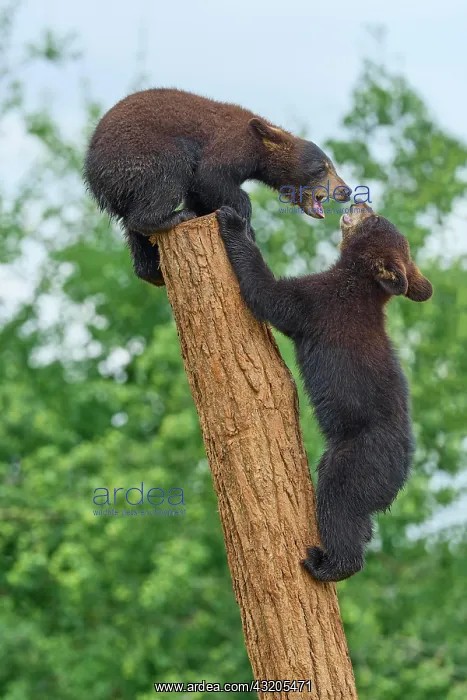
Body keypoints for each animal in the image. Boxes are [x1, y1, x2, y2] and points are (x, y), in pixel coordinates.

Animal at [83, 88, 350, 286]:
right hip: (141, 154)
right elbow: (209, 176)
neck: (258, 146)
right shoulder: (231, 145)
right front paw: (246, 224)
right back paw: (174, 217)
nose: (345, 190)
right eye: (322, 168)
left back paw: (151, 270)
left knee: (130, 226)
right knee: (171, 170)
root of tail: (93, 172)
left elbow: (199, 192)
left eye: (331, 166)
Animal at [216, 202, 433, 582]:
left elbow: (271, 295)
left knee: (339, 507)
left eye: (376, 220)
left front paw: (234, 223)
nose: (360, 202)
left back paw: (327, 563)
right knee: (360, 523)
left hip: (355, 461)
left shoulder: (320, 302)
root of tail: (402, 475)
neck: (360, 284)